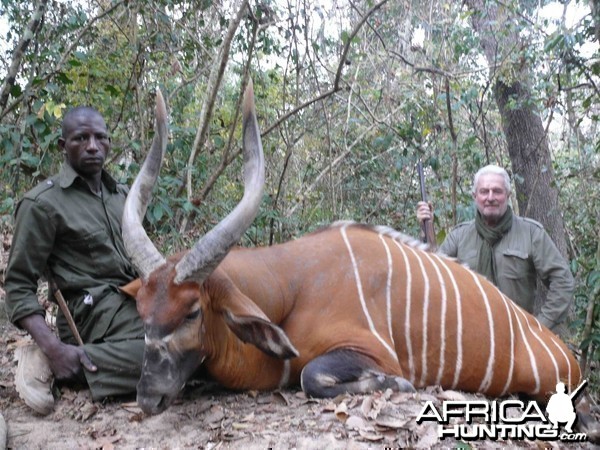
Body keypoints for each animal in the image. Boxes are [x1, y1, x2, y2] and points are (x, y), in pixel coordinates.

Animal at [122, 79, 580, 420]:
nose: (148, 398)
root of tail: (562, 349)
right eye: (141, 312)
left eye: (192, 312)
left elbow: (311, 376)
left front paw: (398, 385)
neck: (291, 286)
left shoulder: (371, 352)